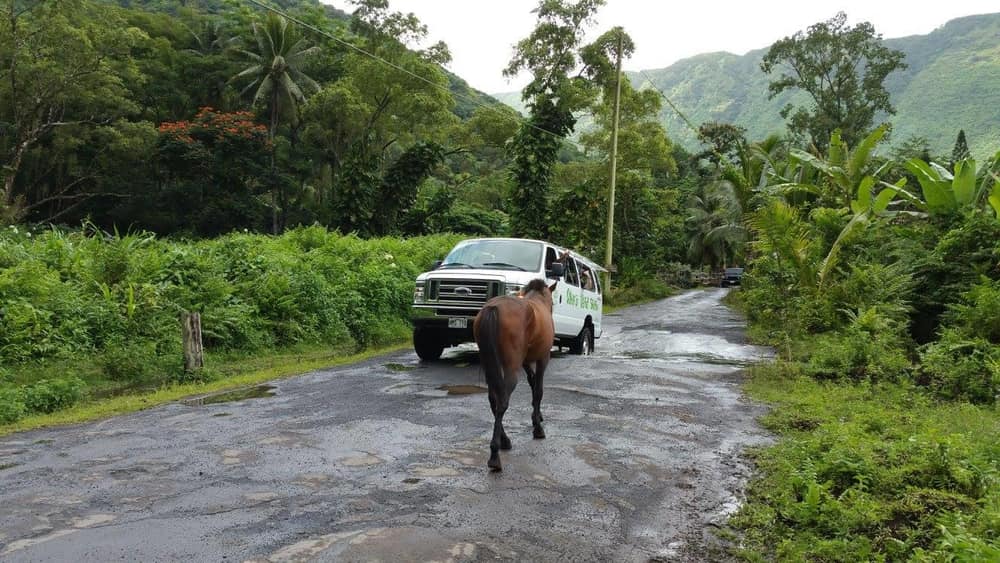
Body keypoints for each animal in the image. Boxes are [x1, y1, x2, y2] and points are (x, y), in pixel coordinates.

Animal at [473, 278, 557, 472]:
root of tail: (493, 308)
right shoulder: (543, 358)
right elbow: (538, 390)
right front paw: (538, 429)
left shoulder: (526, 362)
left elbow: (533, 384)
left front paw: (536, 417)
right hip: (511, 369)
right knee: (502, 401)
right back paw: (495, 455)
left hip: (490, 366)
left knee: (494, 400)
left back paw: (504, 440)